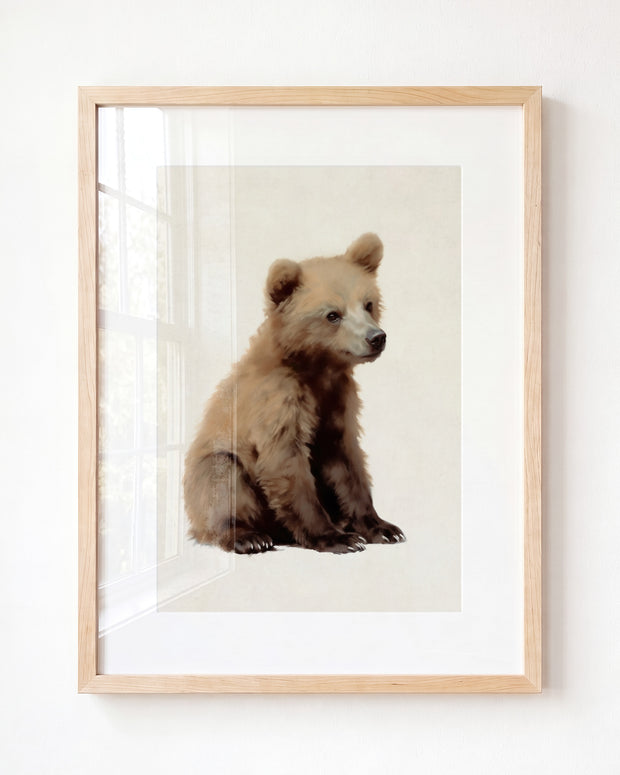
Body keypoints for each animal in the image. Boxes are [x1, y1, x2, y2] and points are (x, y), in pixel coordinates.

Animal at [183, 233, 406, 554]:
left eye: (368, 304)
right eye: (332, 314)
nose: (376, 337)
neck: (317, 369)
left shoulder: (337, 401)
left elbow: (348, 462)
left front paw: (382, 528)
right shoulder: (277, 400)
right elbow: (286, 463)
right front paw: (337, 538)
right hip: (213, 471)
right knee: (222, 478)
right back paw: (249, 536)